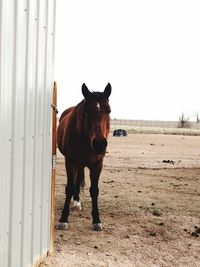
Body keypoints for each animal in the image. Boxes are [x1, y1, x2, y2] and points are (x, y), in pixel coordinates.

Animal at [57, 83, 111, 230]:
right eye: (87, 111)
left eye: (108, 111)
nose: (99, 144)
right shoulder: (70, 162)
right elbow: (69, 187)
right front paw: (63, 219)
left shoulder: (98, 164)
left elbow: (94, 190)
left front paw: (97, 220)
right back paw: (76, 202)